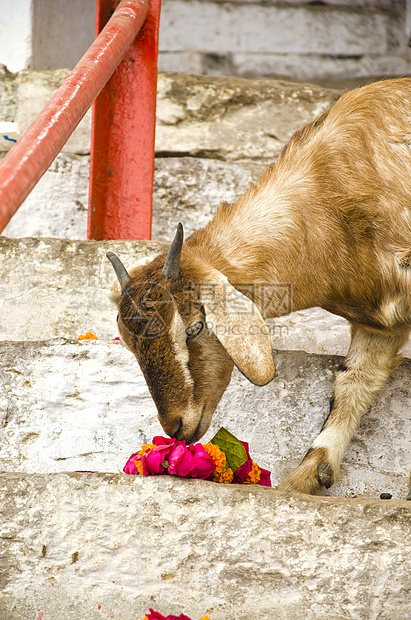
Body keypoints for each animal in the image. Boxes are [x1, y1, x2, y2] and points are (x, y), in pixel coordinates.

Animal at [108, 77, 411, 496]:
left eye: (196, 327)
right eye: (130, 346)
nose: (176, 427)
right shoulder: (379, 325)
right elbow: (353, 383)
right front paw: (305, 477)